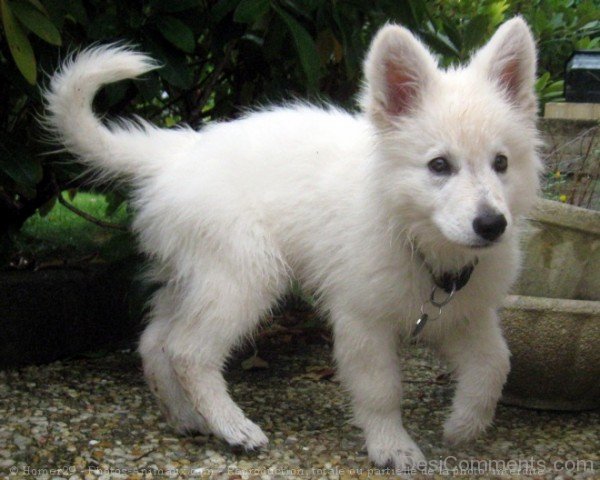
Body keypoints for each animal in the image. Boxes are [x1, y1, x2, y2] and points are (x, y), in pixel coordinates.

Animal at [45, 16, 540, 470]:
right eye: (439, 165)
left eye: (501, 163)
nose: (492, 225)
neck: (414, 236)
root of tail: (177, 152)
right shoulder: (362, 322)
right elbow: (381, 390)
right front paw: (392, 445)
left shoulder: (465, 314)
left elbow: (496, 364)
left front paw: (464, 424)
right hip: (245, 273)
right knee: (188, 350)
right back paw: (232, 426)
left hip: (195, 275)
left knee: (155, 341)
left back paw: (186, 415)